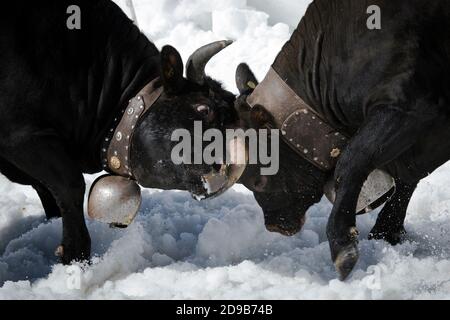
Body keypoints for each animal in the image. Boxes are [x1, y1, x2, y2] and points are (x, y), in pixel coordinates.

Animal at [0, 0, 237, 264]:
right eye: (203, 108)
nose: (232, 165)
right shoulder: (23, 136)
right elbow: (70, 185)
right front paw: (75, 256)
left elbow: (48, 189)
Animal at [234, 0, 450, 278]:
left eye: (257, 180)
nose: (274, 224)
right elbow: (406, 178)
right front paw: (386, 233)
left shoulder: (408, 106)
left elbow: (352, 161)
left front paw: (342, 245)